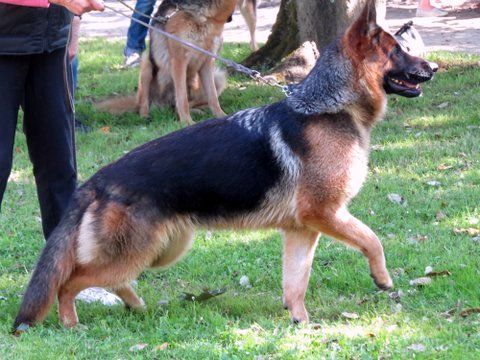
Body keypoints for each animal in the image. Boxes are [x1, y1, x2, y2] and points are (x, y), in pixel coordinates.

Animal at [95, 0, 236, 124]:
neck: (206, 17)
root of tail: (161, 104)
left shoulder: (207, 62)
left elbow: (213, 97)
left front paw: (222, 116)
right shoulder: (179, 60)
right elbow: (182, 98)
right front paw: (187, 122)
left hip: (218, 77)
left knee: (181, 106)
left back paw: (196, 110)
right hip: (146, 64)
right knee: (144, 103)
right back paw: (145, 116)